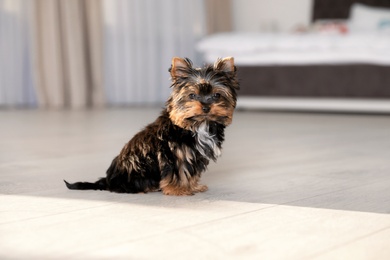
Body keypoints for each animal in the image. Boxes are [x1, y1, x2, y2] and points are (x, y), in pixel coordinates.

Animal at [64, 57, 239, 195]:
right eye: (192, 95)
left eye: (216, 95)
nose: (206, 107)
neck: (198, 124)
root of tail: (108, 180)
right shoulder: (175, 154)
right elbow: (179, 172)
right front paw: (179, 189)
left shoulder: (194, 155)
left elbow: (191, 172)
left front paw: (193, 186)